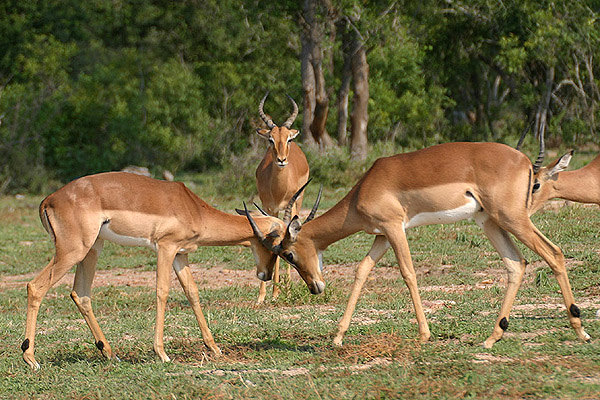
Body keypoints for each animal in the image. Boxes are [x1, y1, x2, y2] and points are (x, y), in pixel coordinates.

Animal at [245, 142, 592, 348]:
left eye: (288, 253)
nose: (315, 288)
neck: (364, 189)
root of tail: (524, 161)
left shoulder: (394, 228)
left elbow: (408, 274)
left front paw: (425, 334)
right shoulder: (381, 235)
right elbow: (362, 271)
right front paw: (338, 337)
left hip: (511, 218)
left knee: (553, 253)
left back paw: (580, 330)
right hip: (489, 221)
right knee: (516, 264)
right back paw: (491, 338)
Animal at [253, 92, 310, 302]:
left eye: (288, 140)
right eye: (270, 139)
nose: (281, 160)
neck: (278, 189)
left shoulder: (288, 206)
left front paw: (282, 291)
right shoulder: (268, 208)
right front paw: (264, 295)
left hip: (298, 203)